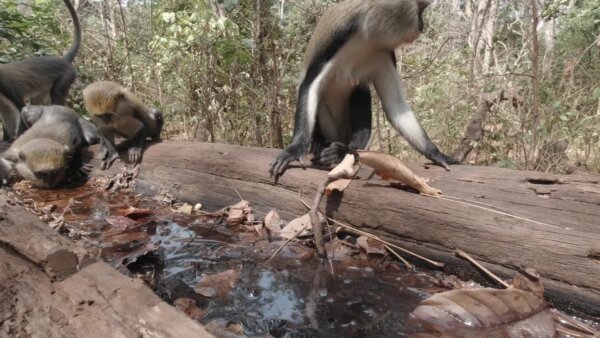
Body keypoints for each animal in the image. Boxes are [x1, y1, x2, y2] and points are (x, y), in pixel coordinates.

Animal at [270, 0, 458, 178]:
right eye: (419, 11)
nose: (422, 26)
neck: (368, 38)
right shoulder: (338, 38)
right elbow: (309, 86)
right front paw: (294, 149)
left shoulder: (385, 54)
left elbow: (395, 105)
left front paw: (437, 154)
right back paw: (321, 142)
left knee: (360, 90)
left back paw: (344, 151)